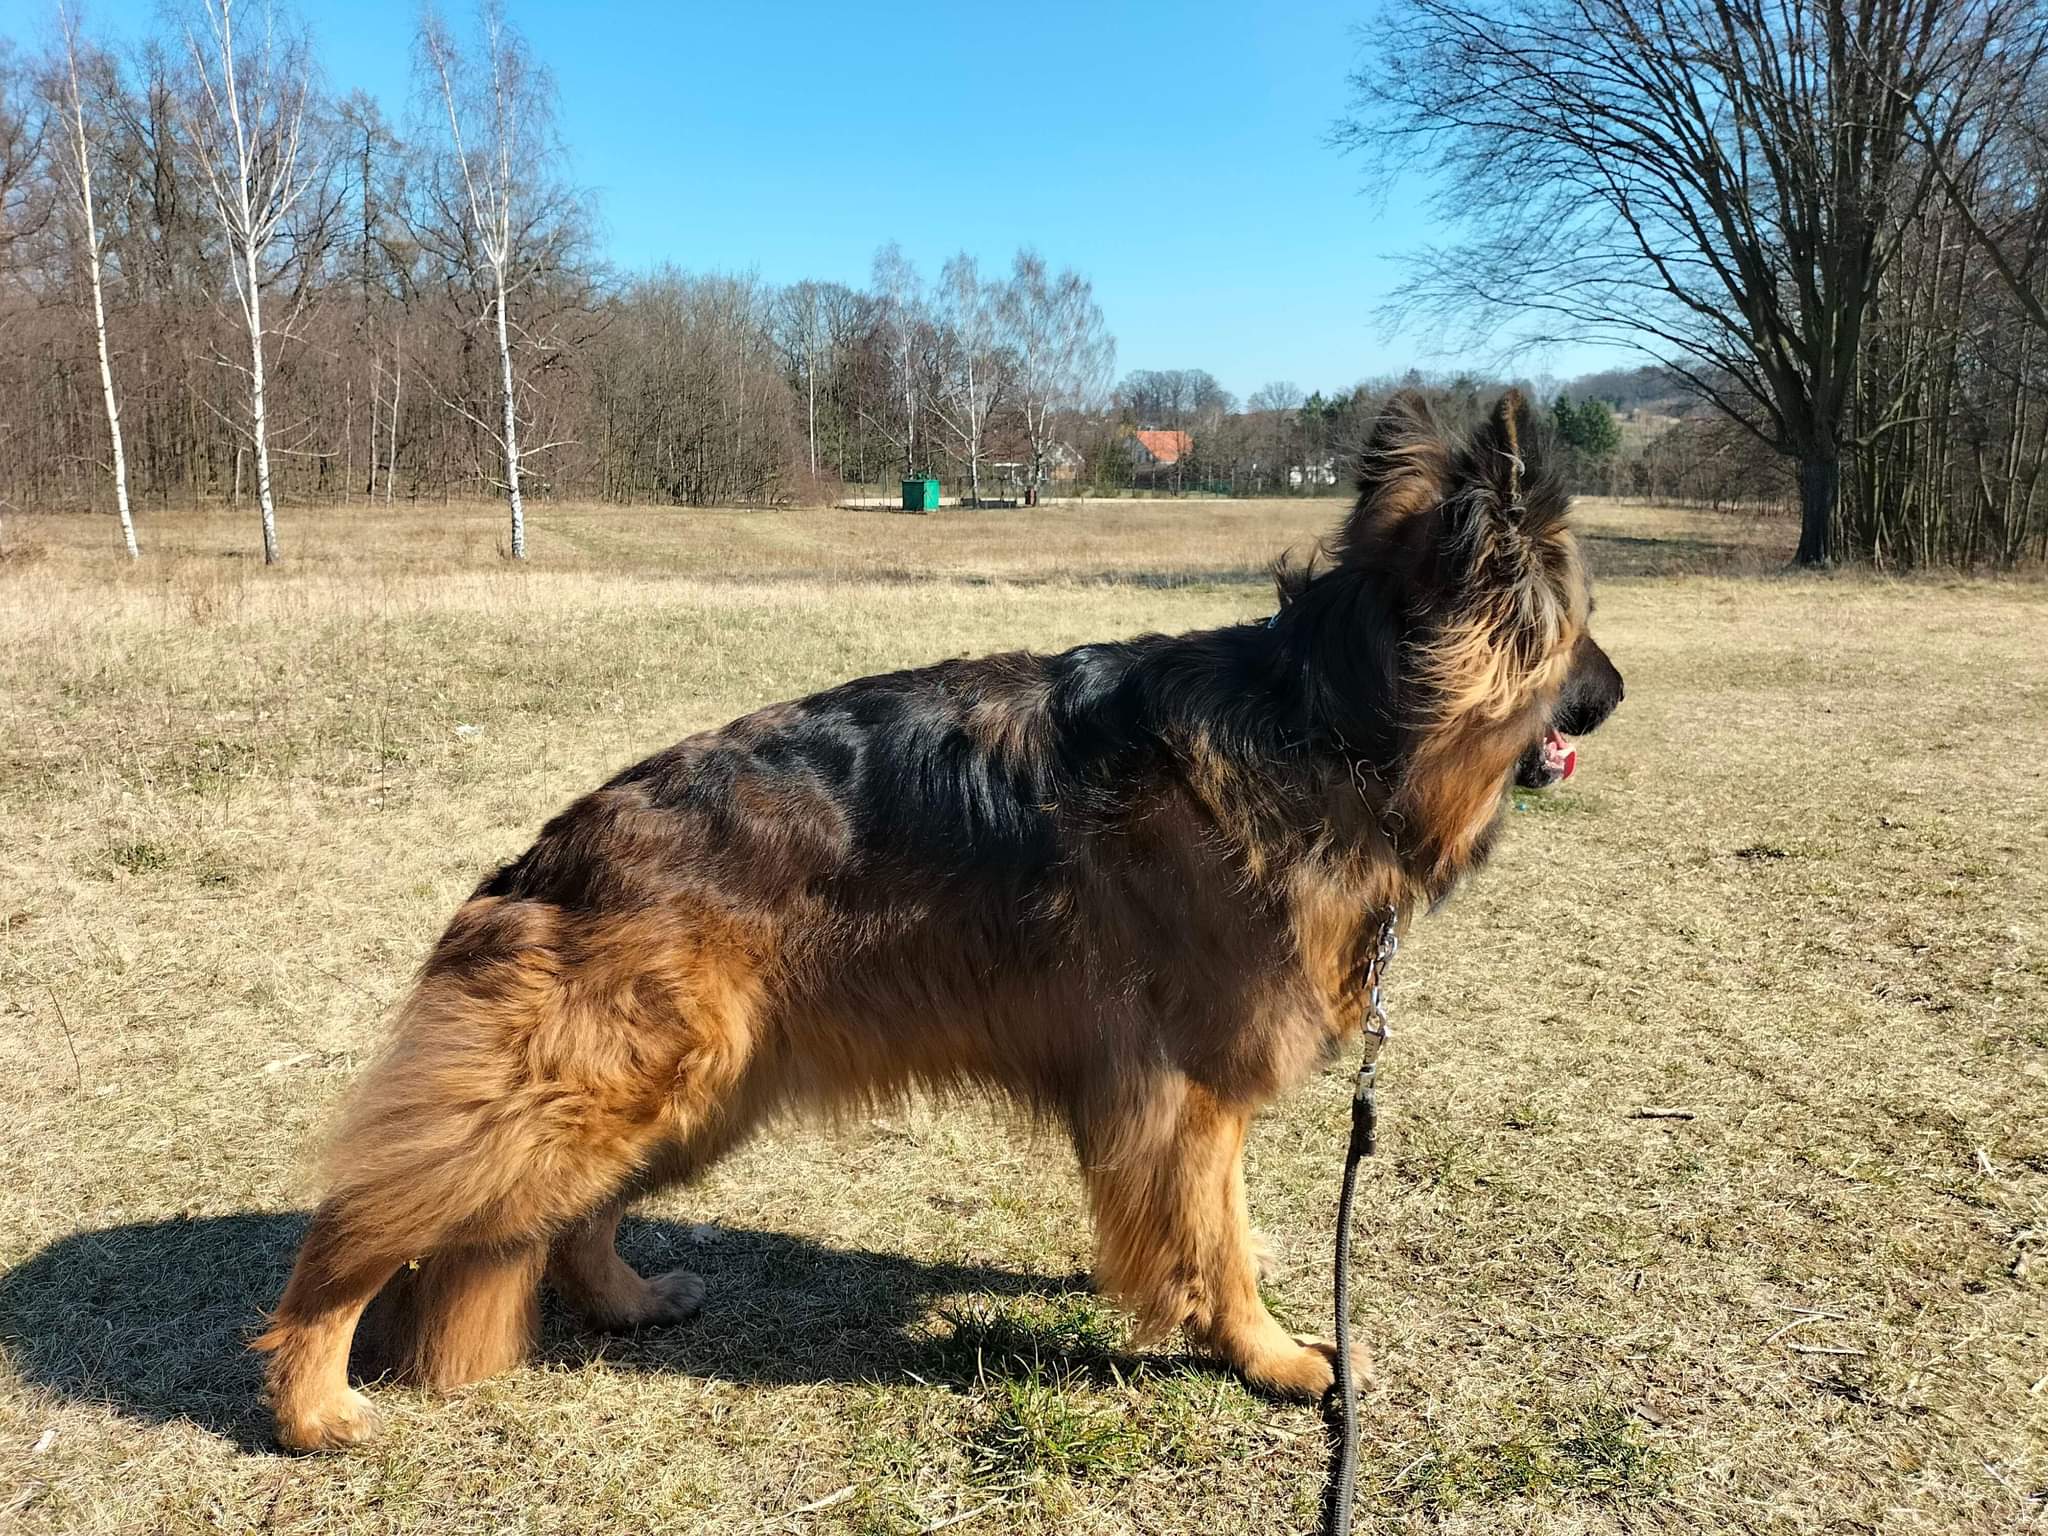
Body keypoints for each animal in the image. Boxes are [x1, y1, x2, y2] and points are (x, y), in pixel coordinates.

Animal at [257, 388, 1623, 1450]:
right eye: (1582, 628)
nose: (1614, 694)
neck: (1331, 712)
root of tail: (548, 853)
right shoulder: (1185, 1091)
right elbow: (1213, 1240)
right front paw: (1271, 1356)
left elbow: (1207, 1220)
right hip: (588, 1091)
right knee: (360, 1226)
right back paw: (312, 1401)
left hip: (689, 1091)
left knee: (571, 1216)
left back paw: (626, 1301)